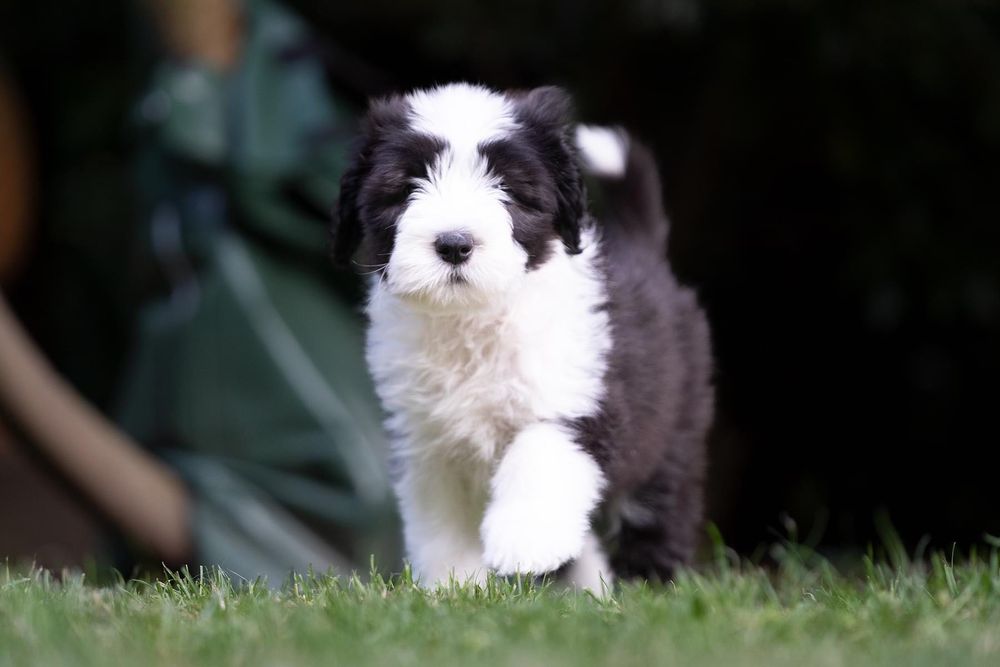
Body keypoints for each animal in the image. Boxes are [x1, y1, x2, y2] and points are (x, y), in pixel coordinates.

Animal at [332, 82, 716, 588]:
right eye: (405, 188)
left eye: (509, 190)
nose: (454, 243)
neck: (473, 320)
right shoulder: (429, 441)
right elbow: (440, 519)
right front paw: (454, 586)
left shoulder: (580, 396)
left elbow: (540, 454)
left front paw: (525, 541)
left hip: (673, 430)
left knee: (659, 508)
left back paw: (649, 583)